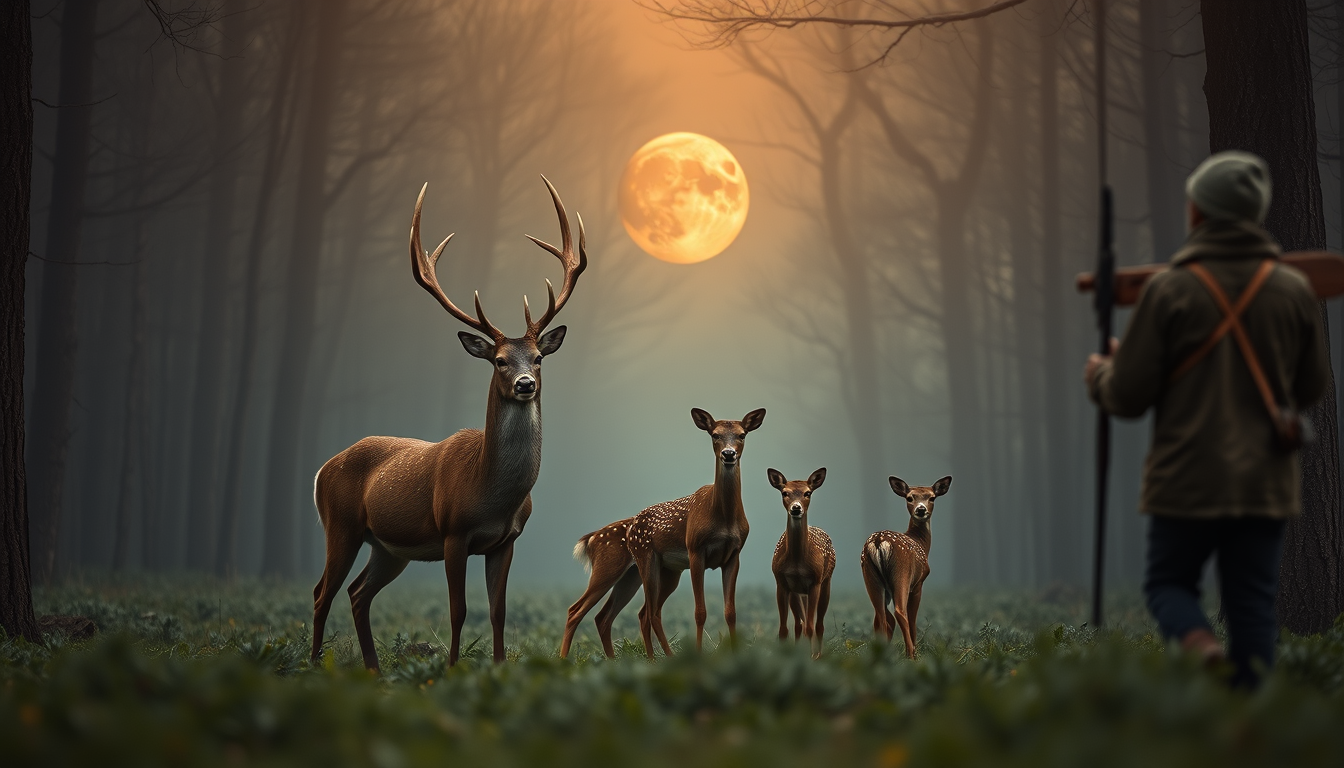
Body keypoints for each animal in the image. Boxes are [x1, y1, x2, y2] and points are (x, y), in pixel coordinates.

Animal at [310, 176, 586, 671]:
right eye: (499, 360)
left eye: (538, 357)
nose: (525, 384)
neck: (490, 492)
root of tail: (323, 468)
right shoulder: (453, 532)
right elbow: (458, 610)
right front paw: (454, 668)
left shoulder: (505, 540)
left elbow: (498, 611)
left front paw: (498, 667)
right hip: (339, 523)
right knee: (323, 592)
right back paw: (313, 664)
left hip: (387, 547)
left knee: (358, 594)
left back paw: (374, 669)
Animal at [626, 408, 766, 658]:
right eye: (715, 434)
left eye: (742, 435)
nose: (728, 454)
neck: (723, 518)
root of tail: (633, 524)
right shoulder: (695, 550)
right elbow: (699, 612)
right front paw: (699, 654)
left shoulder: (734, 555)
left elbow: (731, 612)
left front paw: (735, 653)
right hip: (645, 557)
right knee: (650, 612)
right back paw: (660, 658)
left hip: (670, 571)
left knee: (646, 612)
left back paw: (658, 657)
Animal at [767, 467, 834, 659]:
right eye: (784, 492)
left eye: (807, 493)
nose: (796, 508)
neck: (797, 562)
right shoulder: (782, 582)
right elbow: (784, 629)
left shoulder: (815, 582)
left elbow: (811, 627)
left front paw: (811, 658)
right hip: (797, 592)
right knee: (800, 624)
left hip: (826, 581)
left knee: (818, 625)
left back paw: (818, 654)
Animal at [860, 475, 951, 659]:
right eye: (910, 498)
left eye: (932, 497)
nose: (921, 509)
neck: (921, 543)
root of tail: (878, 542)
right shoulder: (918, 583)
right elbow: (913, 618)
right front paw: (915, 651)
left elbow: (885, 620)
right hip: (901, 574)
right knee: (900, 612)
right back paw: (911, 655)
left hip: (870, 576)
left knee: (881, 616)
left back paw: (881, 654)